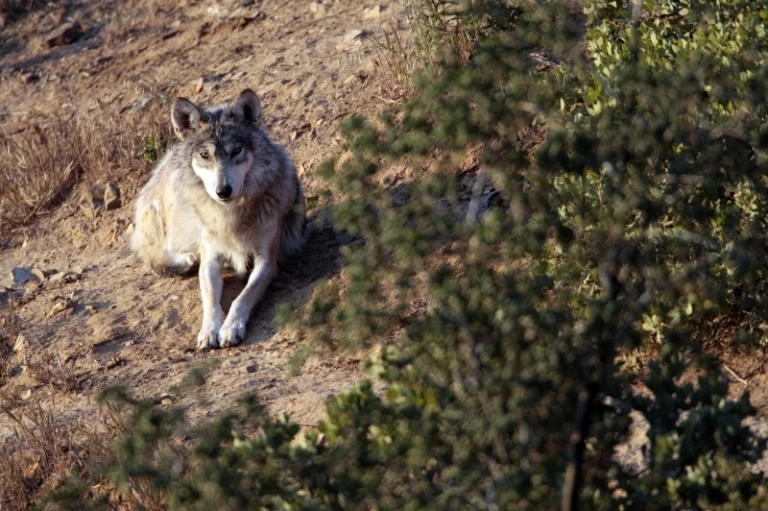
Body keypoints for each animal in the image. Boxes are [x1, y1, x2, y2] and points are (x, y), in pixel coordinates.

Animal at [130, 89, 306, 349]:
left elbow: (242, 297)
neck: (231, 215)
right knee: (157, 254)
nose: (223, 191)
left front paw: (231, 328)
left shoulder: (267, 261)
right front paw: (208, 331)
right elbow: (211, 300)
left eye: (236, 151)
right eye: (205, 155)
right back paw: (186, 259)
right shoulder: (211, 258)